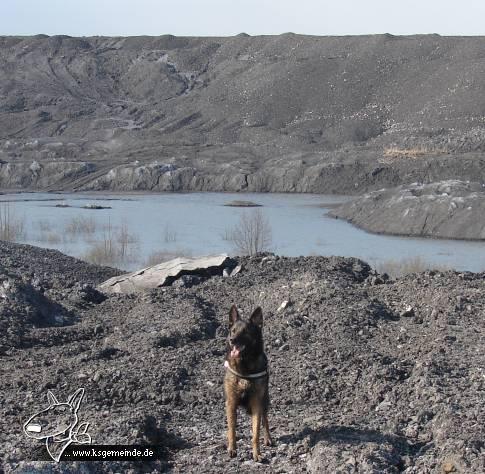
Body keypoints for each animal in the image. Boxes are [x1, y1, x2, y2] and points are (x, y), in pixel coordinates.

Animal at [223, 306, 272, 462]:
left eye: (245, 331)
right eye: (233, 330)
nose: (232, 340)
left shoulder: (257, 403)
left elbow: (255, 434)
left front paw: (257, 453)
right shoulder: (231, 403)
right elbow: (232, 429)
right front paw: (232, 449)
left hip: (264, 400)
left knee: (265, 419)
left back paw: (268, 438)